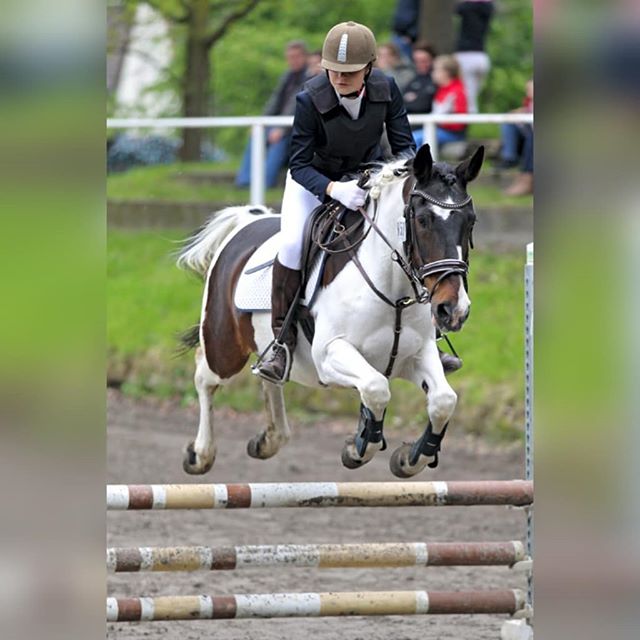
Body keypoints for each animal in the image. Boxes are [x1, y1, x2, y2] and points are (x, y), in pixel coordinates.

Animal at [178, 144, 482, 476]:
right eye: (424, 220)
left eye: (470, 222)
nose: (453, 310)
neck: (394, 292)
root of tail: (246, 223)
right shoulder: (329, 354)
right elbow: (377, 388)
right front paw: (359, 448)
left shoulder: (417, 354)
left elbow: (443, 401)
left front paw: (409, 458)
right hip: (225, 348)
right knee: (205, 375)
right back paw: (200, 454)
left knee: (268, 377)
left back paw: (270, 437)